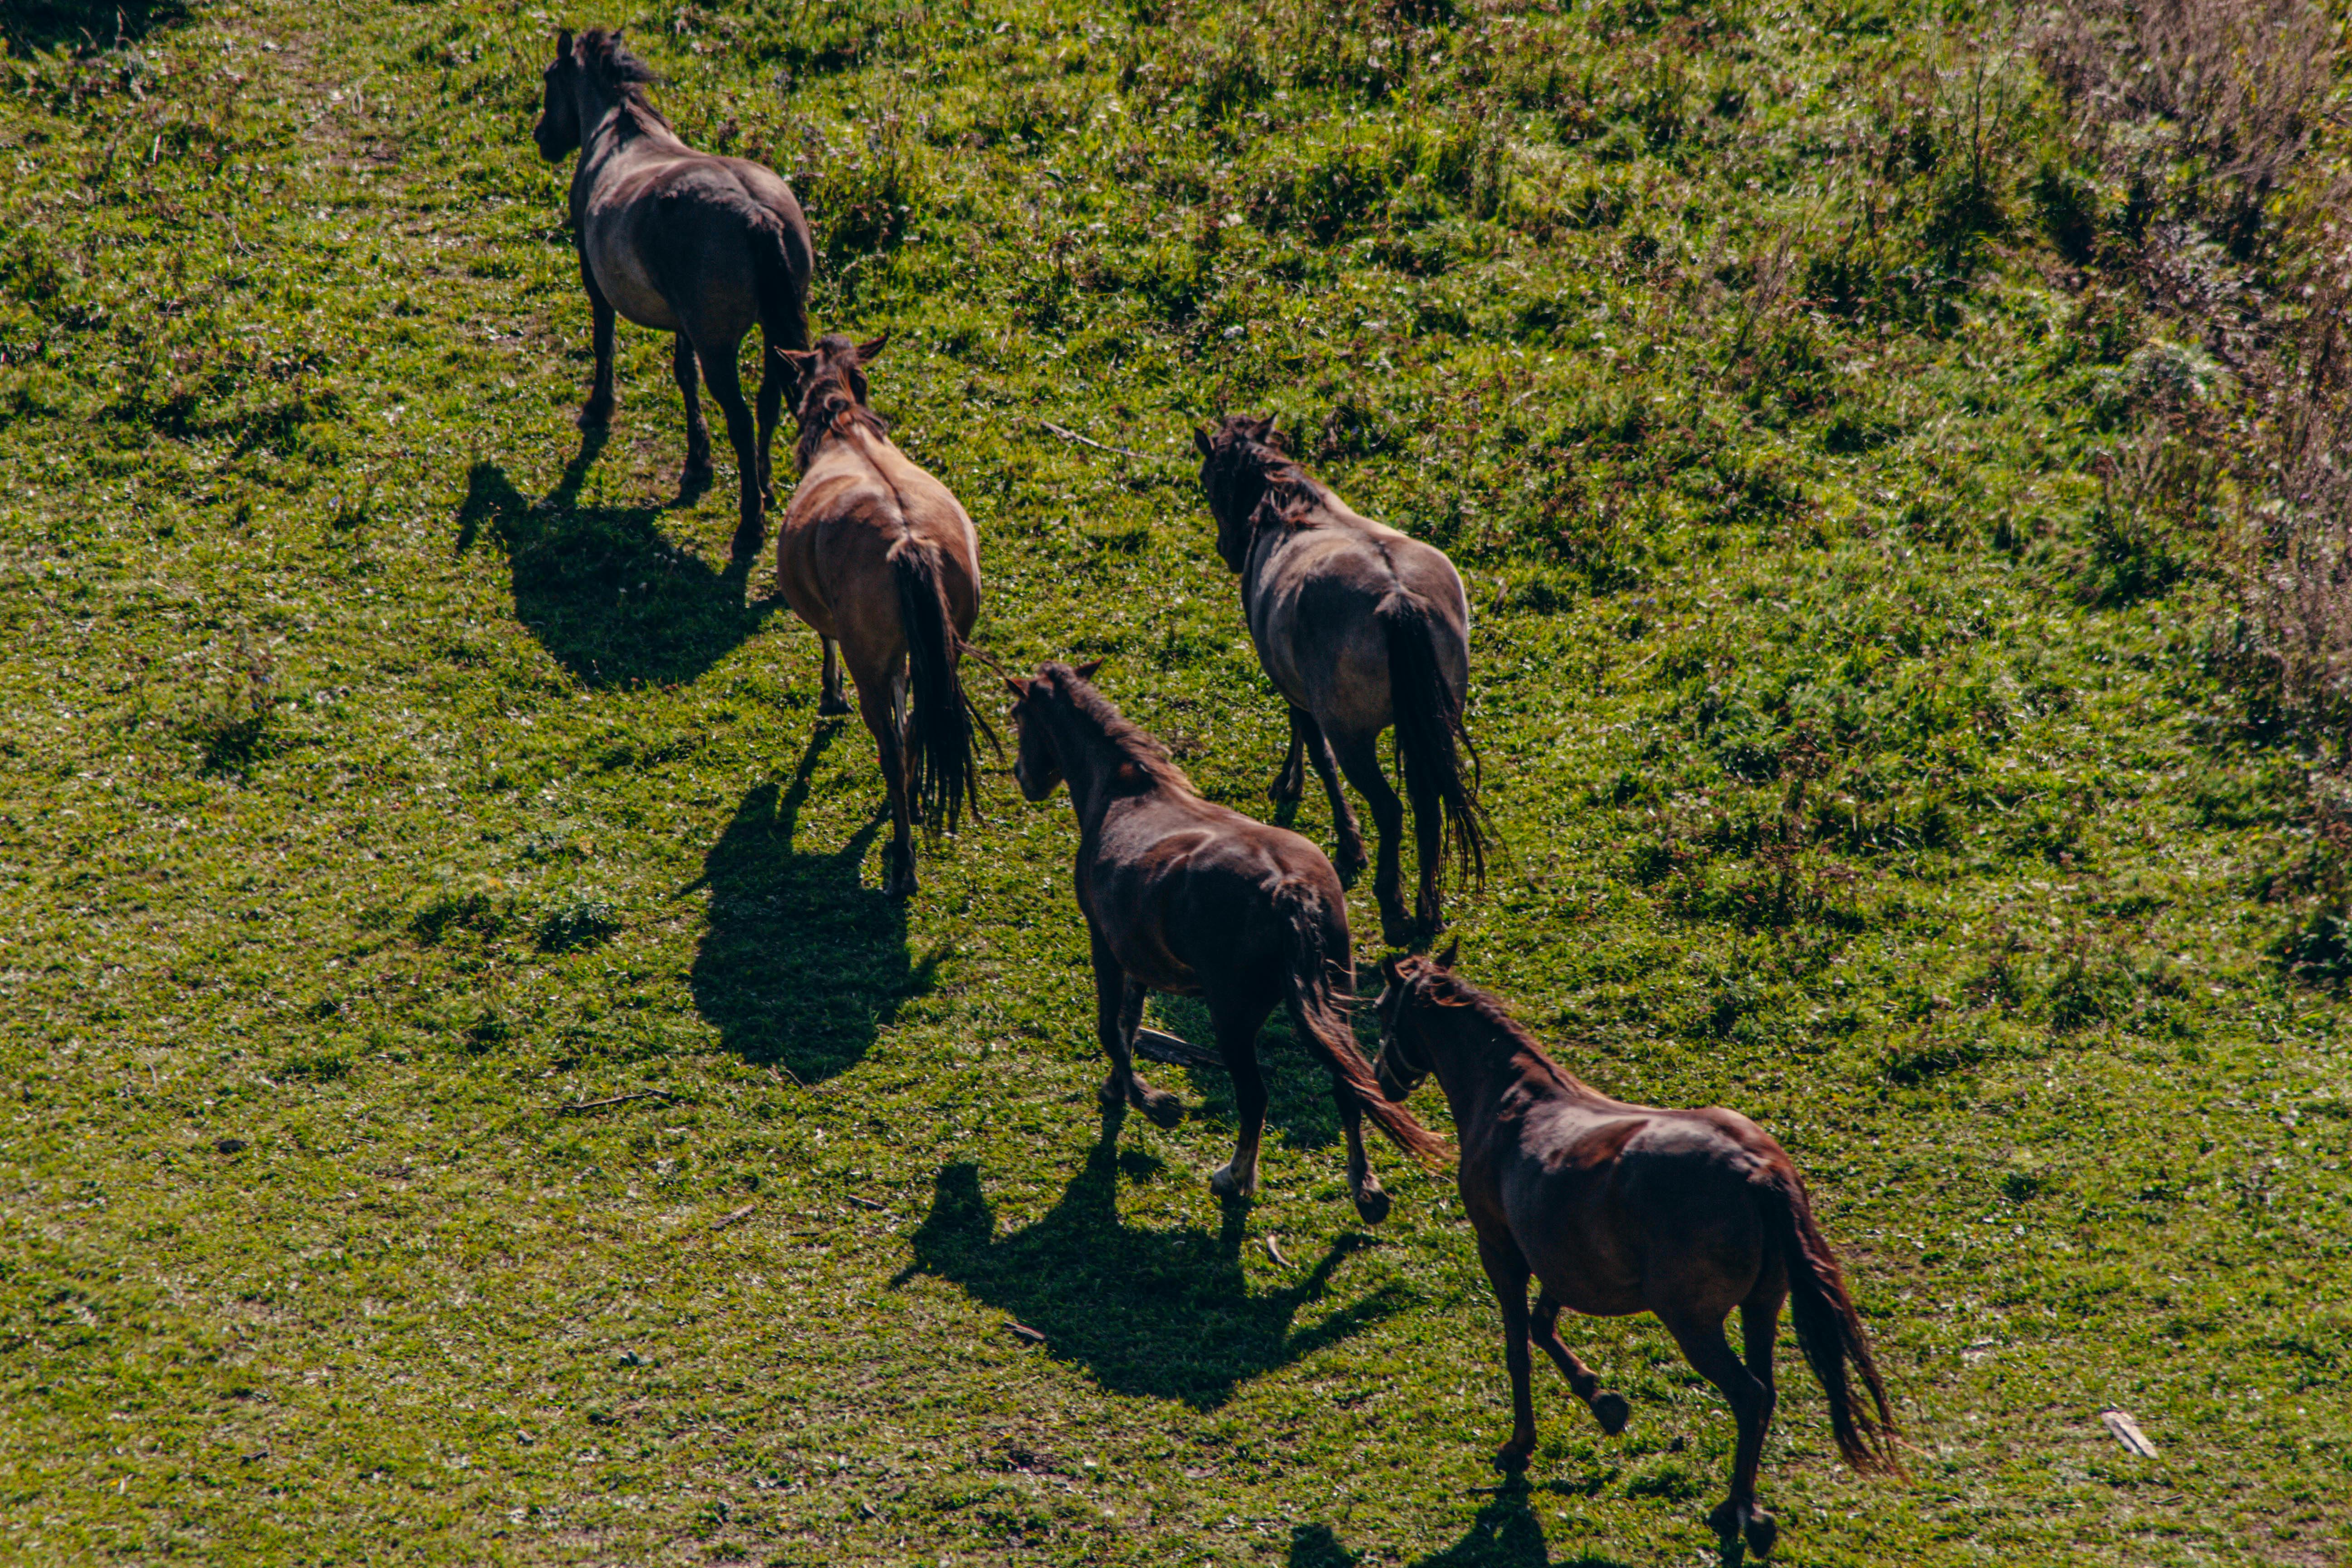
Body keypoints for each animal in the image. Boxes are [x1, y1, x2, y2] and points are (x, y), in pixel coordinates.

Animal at [533, 28, 814, 565]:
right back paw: (765, 488)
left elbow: (604, 343)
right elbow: (685, 376)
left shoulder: (593, 277)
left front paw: (598, 409)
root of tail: (756, 214)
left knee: (742, 419)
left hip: (720, 347)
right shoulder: (685, 322)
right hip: (771, 334)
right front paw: (697, 461)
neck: (621, 134)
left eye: (550, 79)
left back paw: (750, 525)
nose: (542, 139)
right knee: (768, 402)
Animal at [773, 333, 989, 897]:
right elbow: (907, 704)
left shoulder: (847, 635)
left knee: (891, 745)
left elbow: (826, 641)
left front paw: (831, 695)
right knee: (917, 722)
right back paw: (909, 808)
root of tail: (908, 542)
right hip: (945, 648)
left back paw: (903, 862)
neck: (843, 427)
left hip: (869, 660)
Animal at [1004, 659, 1449, 1218]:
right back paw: (1365, 1188)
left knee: (1255, 1098)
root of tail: (1288, 888)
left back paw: (1234, 1178)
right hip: (1334, 1003)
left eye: (1018, 714)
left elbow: (1111, 1028)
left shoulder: (1105, 945)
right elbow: (1129, 1025)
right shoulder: (1141, 959)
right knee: (1348, 1086)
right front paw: (1118, 1090)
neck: (1124, 793)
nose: (1023, 778)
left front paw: (1153, 1103)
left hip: (1233, 1021)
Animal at [1195, 415, 1488, 948]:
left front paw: (1333, 828)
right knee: (1428, 805)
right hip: (1431, 723)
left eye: (1208, 481)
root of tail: (1398, 600)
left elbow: (1312, 747)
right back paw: (1428, 910)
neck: (1288, 507)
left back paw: (1395, 910)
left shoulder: (1297, 691)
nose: (1228, 552)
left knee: (1391, 809)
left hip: (1354, 736)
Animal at [1371, 950, 1899, 1558]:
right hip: (1762, 1307)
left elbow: (1517, 1347)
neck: (1511, 1100)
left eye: (1380, 1009)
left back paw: (1737, 1512)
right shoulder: (1563, 1262)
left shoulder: (1500, 1251)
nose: (1381, 1076)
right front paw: (1604, 1401)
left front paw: (1521, 1443)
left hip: (1694, 1323)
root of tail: (1758, 1171)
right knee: (1765, 1393)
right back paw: (1746, 1507)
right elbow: (1542, 1326)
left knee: (1748, 1395)